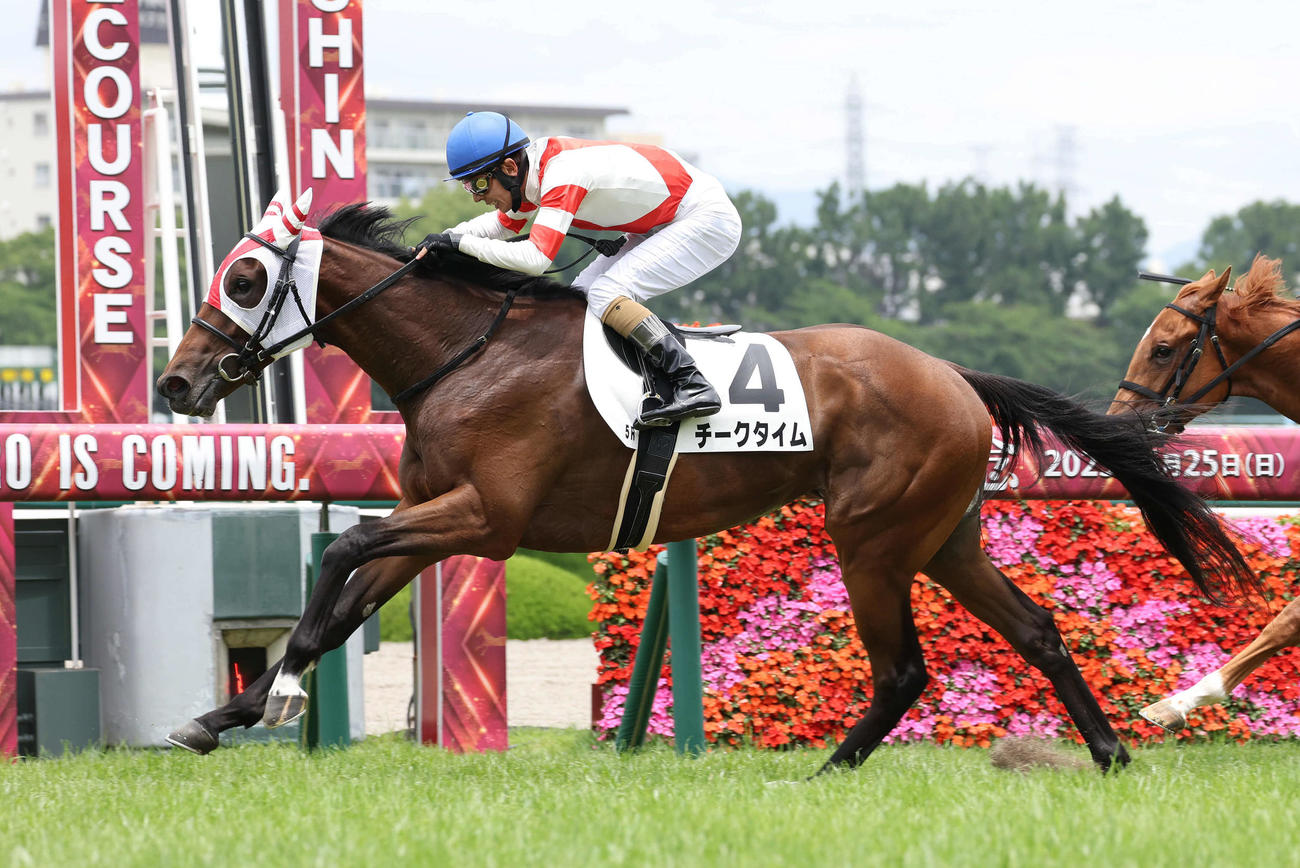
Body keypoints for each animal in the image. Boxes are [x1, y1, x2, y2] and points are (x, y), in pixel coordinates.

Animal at [156, 194, 1261, 773]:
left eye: (244, 280)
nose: (173, 382)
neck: (465, 354)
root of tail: (952, 373)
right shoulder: (435, 517)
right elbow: (347, 598)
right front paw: (222, 714)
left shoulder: (482, 518)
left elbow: (342, 549)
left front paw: (277, 694)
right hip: (943, 536)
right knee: (1035, 629)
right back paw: (1109, 753)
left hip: (871, 537)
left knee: (904, 669)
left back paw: (827, 770)